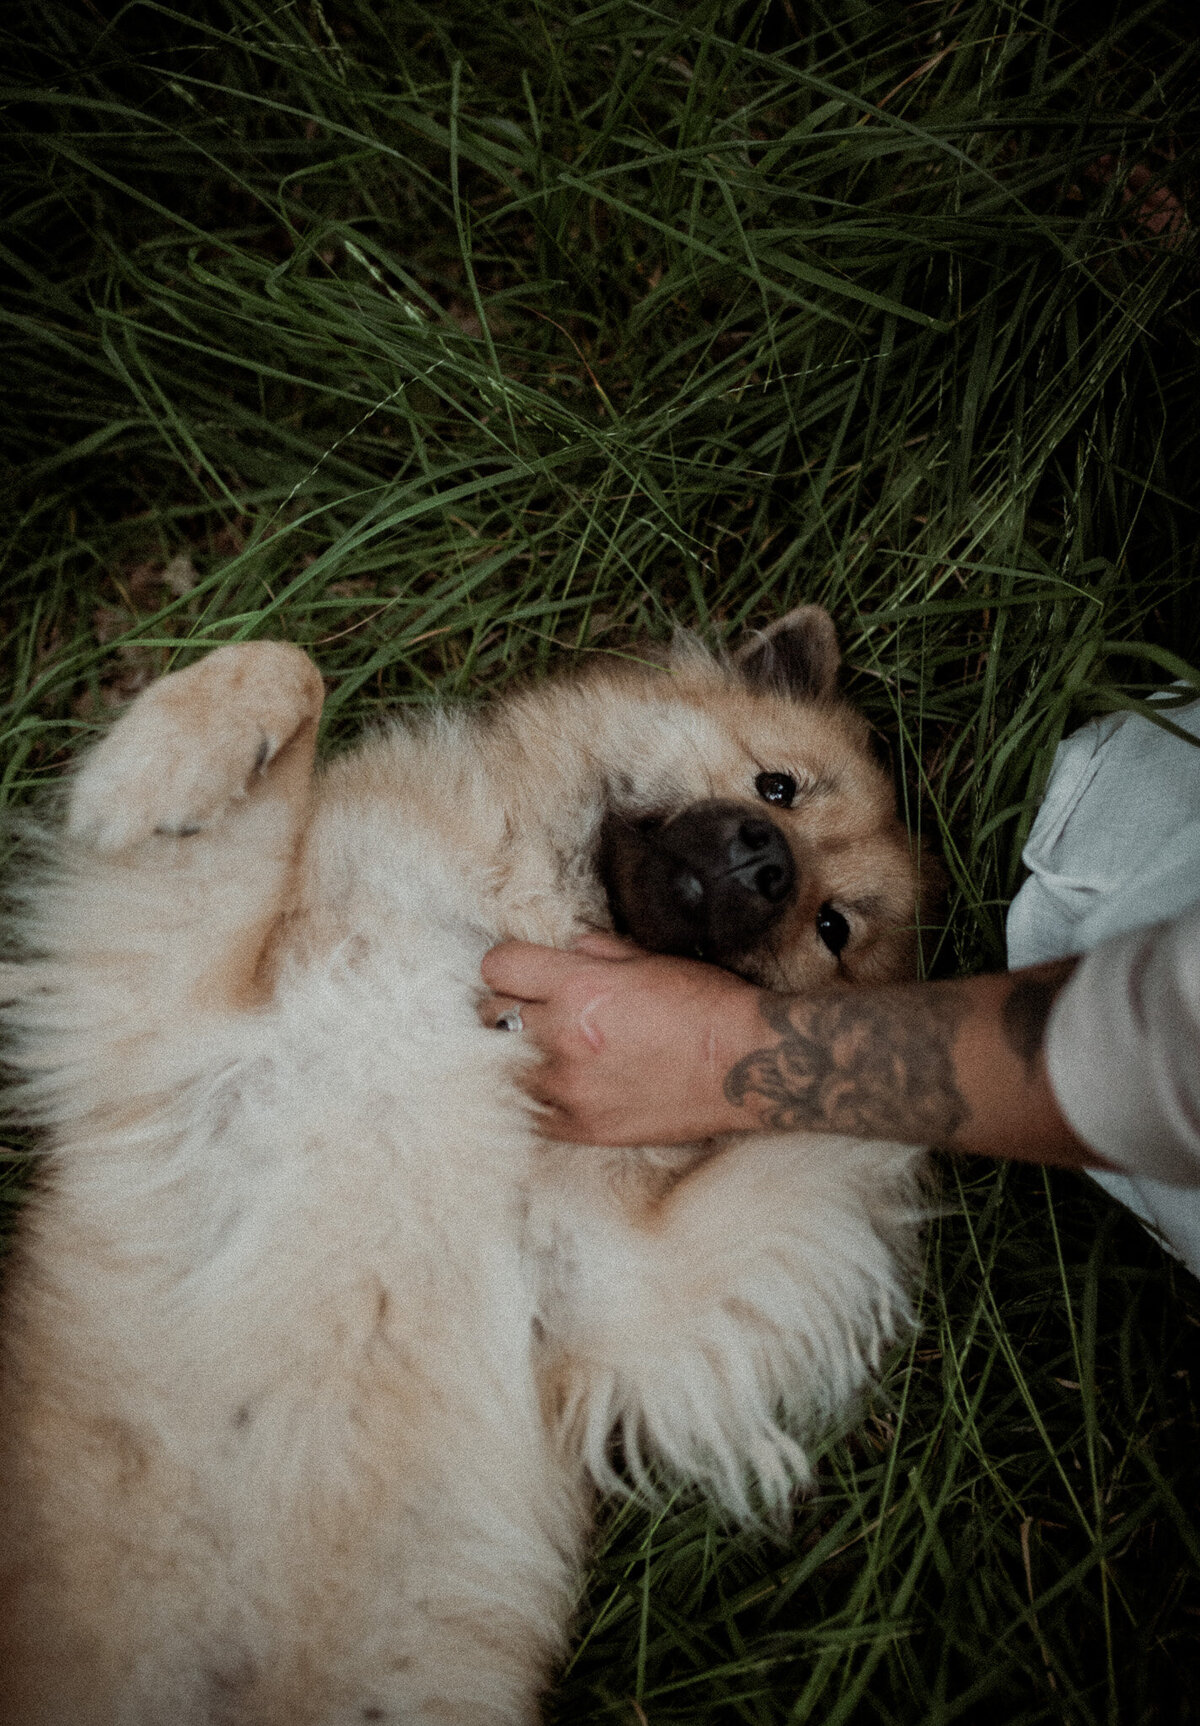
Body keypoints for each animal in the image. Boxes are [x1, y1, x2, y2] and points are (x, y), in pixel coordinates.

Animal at [0, 600, 932, 1719]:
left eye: (832, 928)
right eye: (776, 786)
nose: (766, 864)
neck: (512, 940)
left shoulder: (618, 1283)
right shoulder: (189, 1012)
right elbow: (291, 667)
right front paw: (166, 769)